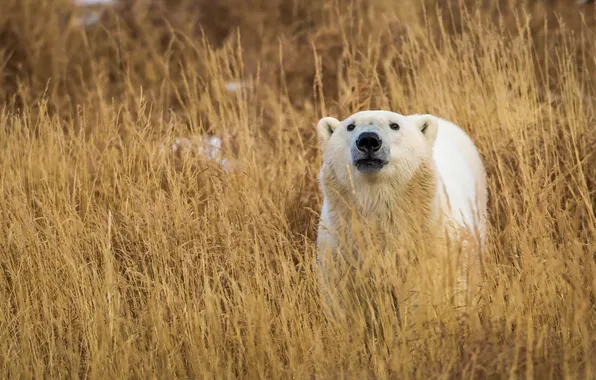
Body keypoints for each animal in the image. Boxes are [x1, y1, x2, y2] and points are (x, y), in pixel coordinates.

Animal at [314, 110, 486, 318]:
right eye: (350, 126)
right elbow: (344, 298)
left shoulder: (432, 244)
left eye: (394, 125)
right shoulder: (342, 249)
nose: (368, 140)